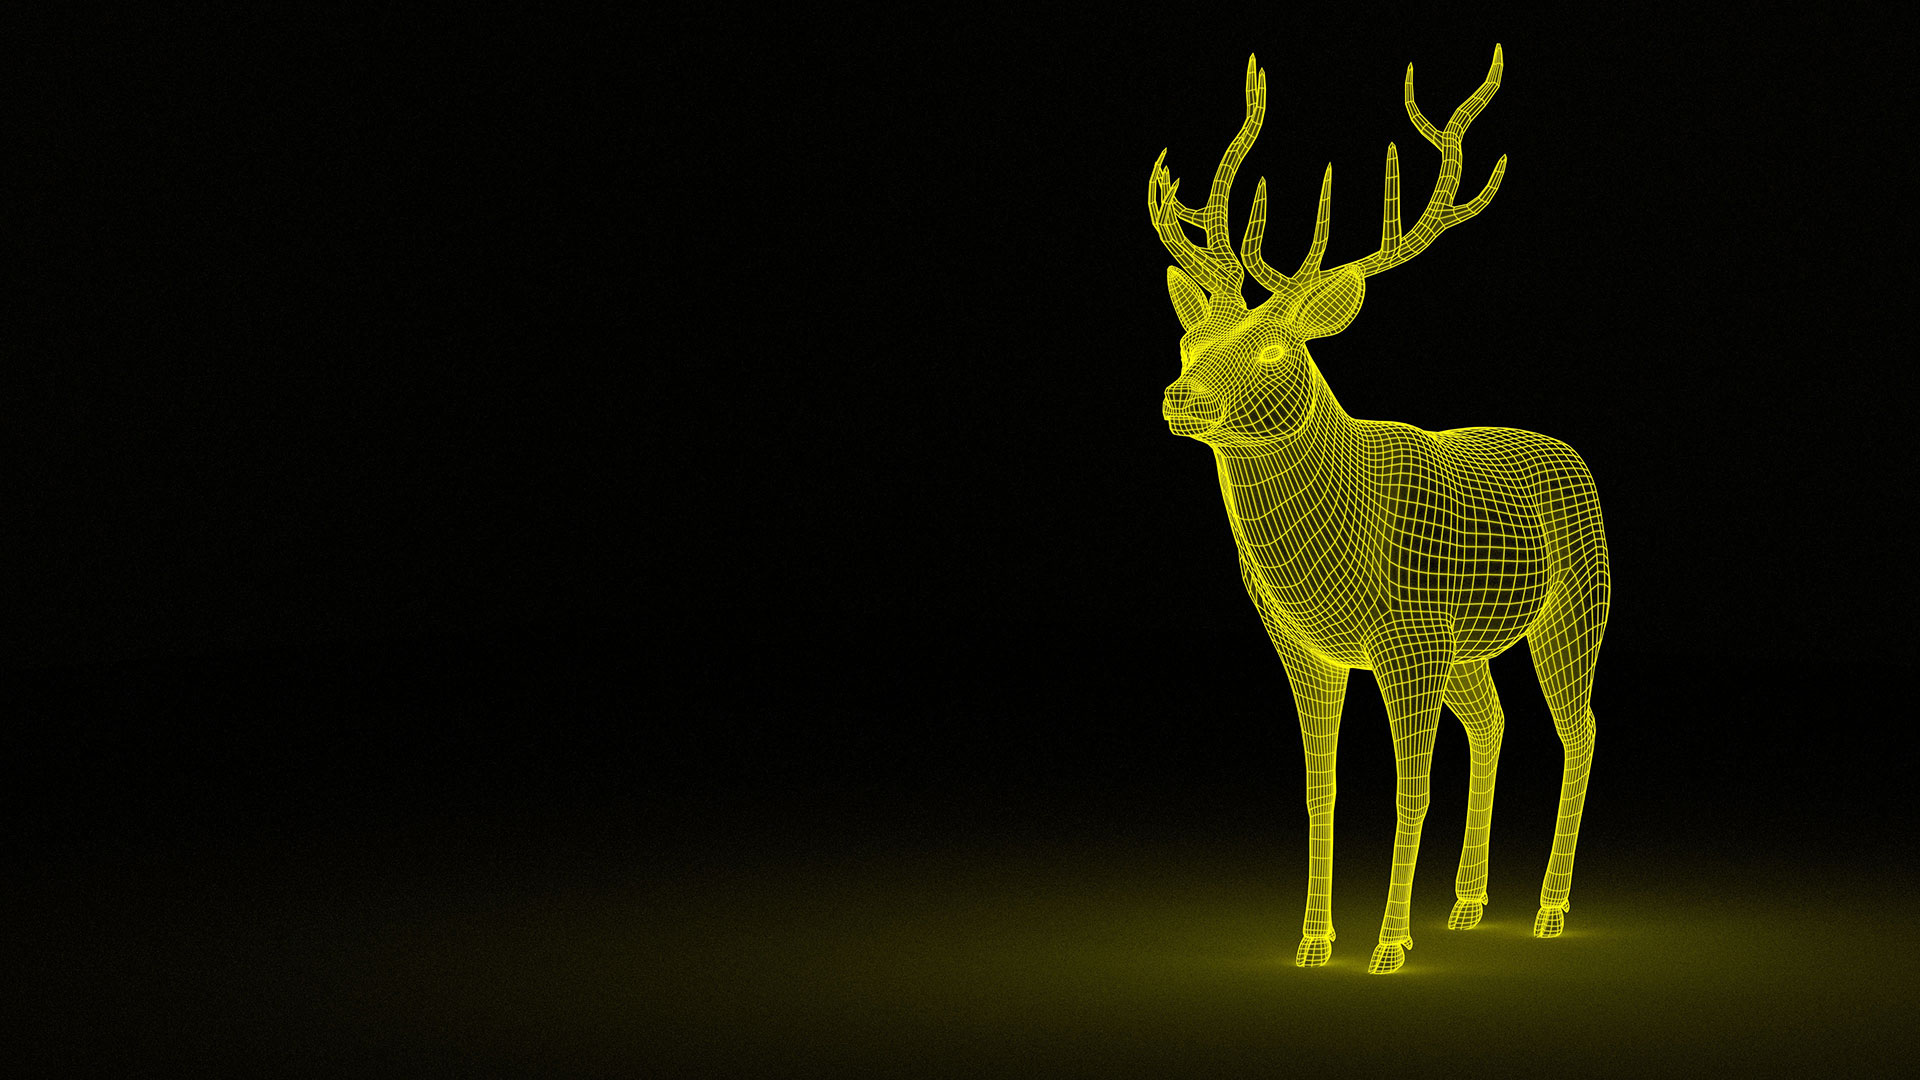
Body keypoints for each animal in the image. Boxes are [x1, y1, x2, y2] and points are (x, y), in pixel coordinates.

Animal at [1146, 45, 1609, 974]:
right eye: (1188, 341)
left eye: (1276, 348)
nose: (1182, 398)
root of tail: (1573, 458)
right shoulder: (1303, 646)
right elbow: (1320, 788)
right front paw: (1314, 939)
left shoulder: (1408, 639)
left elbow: (1410, 789)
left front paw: (1387, 945)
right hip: (1465, 646)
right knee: (1494, 722)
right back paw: (1468, 903)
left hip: (1573, 607)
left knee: (1578, 727)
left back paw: (1548, 909)